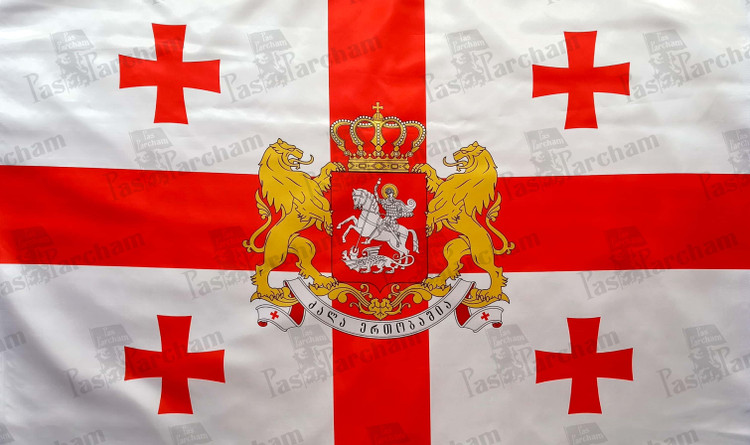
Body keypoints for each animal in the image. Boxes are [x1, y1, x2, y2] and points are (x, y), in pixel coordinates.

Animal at [244, 139, 344, 305]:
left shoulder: (315, 188)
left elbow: (321, 178)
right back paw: (269, 292)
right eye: (290, 148)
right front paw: (329, 224)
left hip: (305, 246)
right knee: (262, 269)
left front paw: (335, 166)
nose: (301, 152)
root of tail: (266, 241)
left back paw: (324, 281)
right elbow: (321, 211)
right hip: (278, 254)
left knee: (305, 264)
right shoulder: (304, 205)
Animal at [413, 141, 514, 304]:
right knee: (454, 264)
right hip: (453, 248)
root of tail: (491, 244)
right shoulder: (441, 190)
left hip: (479, 255)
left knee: (496, 271)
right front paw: (422, 168)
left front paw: (428, 225)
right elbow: (435, 180)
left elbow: (437, 212)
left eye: (466, 150)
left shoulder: (452, 207)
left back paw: (489, 294)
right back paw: (435, 282)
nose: (455, 153)